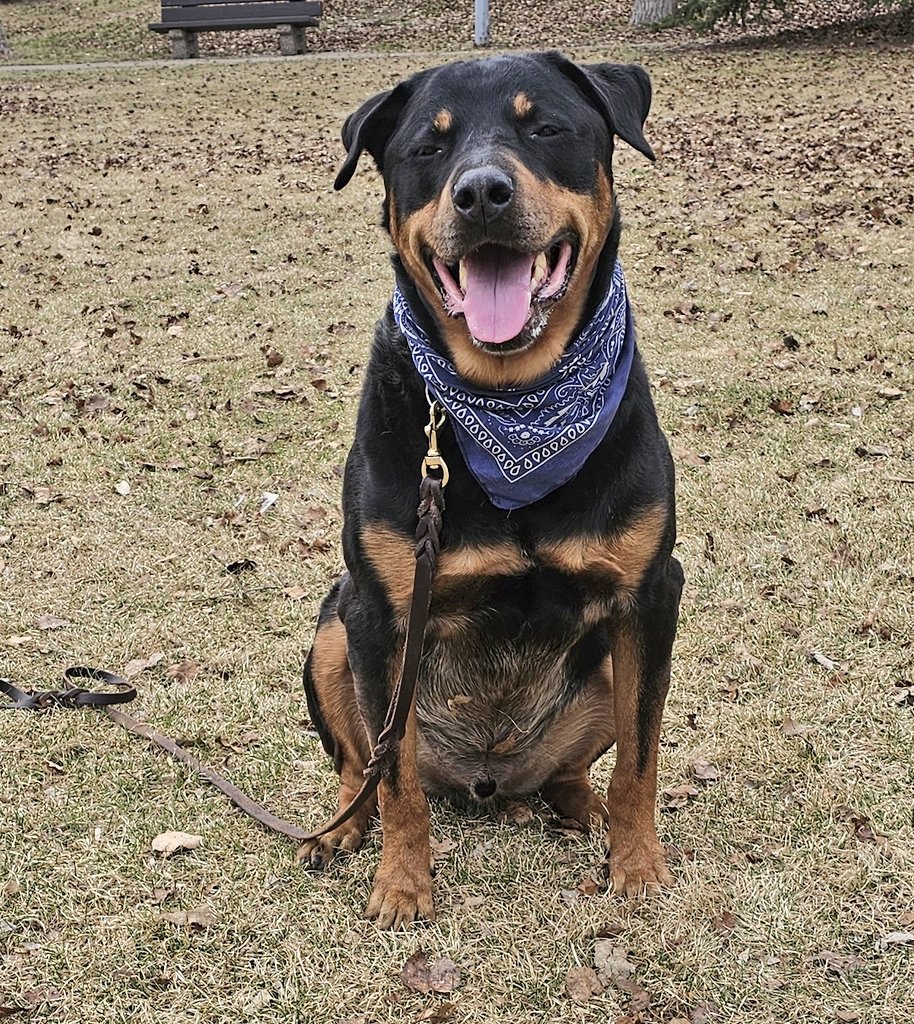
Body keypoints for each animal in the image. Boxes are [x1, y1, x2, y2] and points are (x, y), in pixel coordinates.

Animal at [300, 49, 683, 929]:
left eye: (545, 127)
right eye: (428, 147)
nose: (481, 192)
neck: (513, 401)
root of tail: (484, 777)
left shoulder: (651, 595)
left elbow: (640, 758)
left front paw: (637, 865)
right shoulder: (379, 613)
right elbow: (395, 783)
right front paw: (403, 885)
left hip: (602, 668)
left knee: (574, 770)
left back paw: (582, 812)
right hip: (332, 633)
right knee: (361, 770)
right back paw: (339, 832)